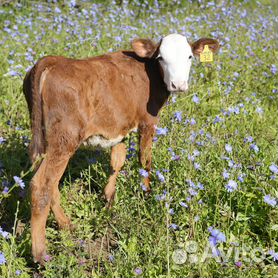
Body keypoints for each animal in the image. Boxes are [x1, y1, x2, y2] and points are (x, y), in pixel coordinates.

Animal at [23, 33, 219, 262]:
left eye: (189, 56)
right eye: (161, 57)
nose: (178, 84)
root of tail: (51, 60)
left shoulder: (120, 126)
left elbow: (117, 161)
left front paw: (108, 198)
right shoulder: (148, 122)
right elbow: (144, 161)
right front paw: (146, 193)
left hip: (45, 138)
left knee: (50, 183)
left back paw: (67, 225)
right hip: (64, 139)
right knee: (42, 184)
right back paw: (40, 254)